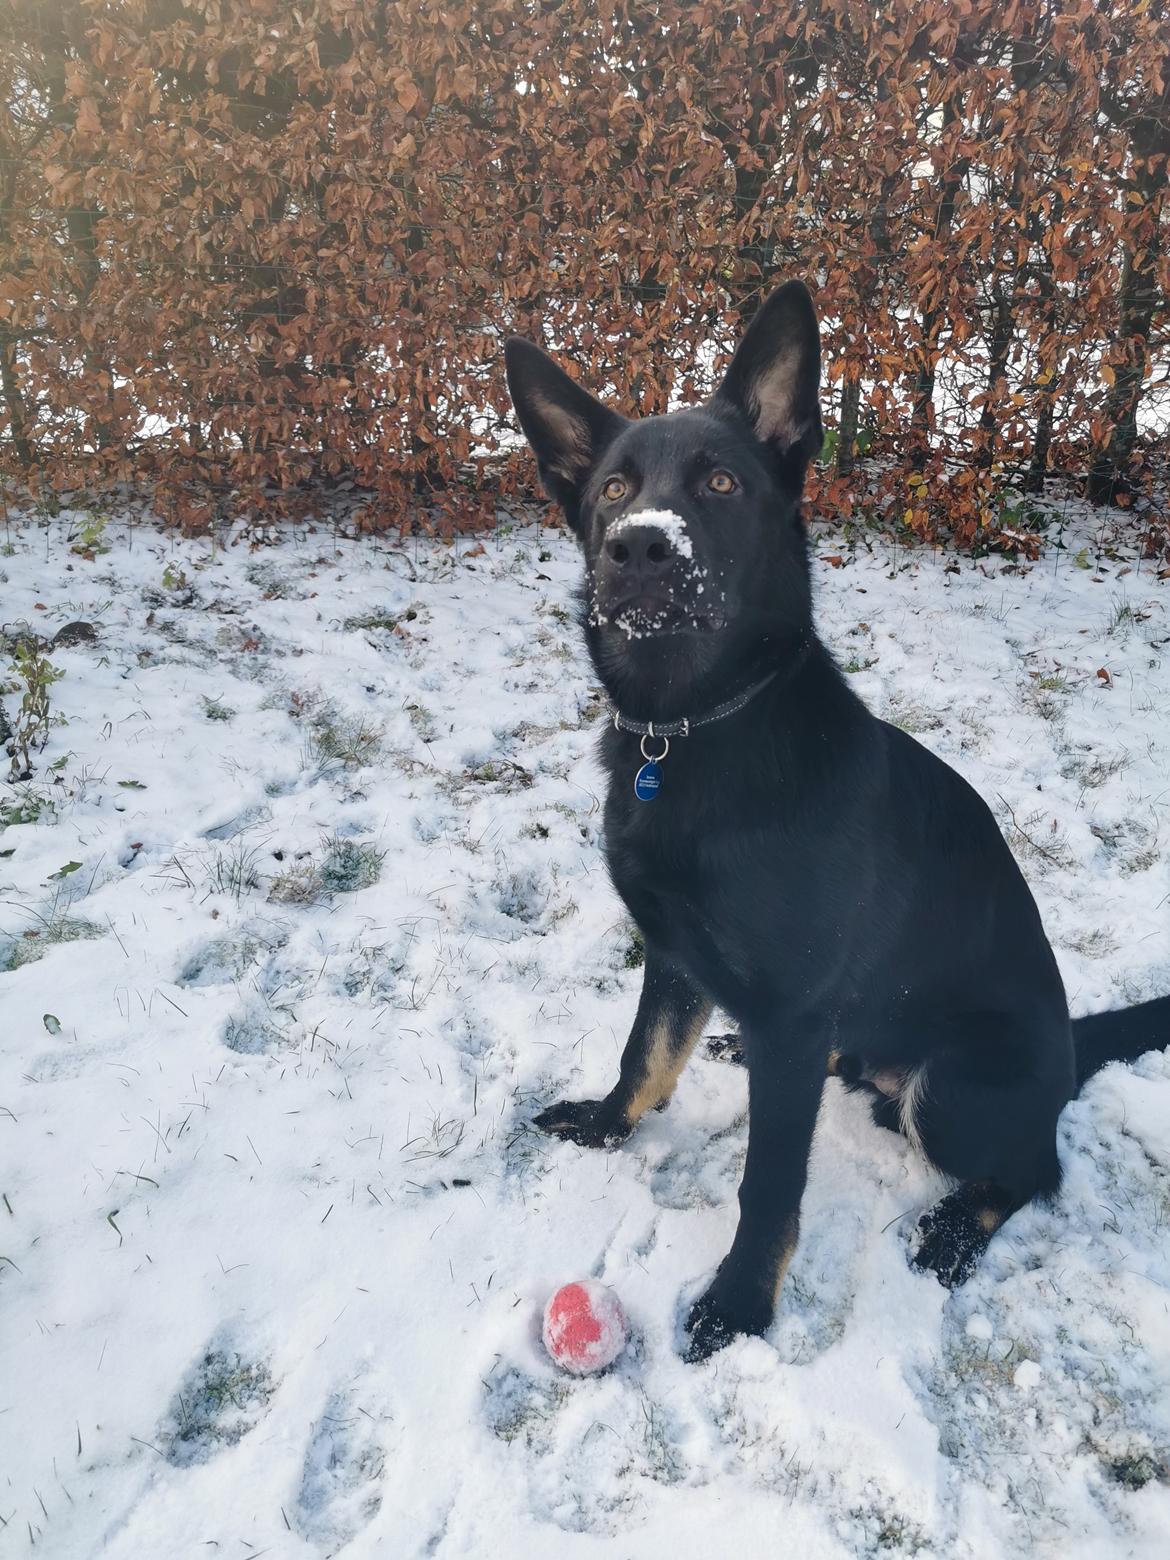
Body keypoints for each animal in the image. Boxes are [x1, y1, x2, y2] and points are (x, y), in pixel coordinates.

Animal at [505, 283, 1170, 1366]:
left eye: (721, 482)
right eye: (611, 489)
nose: (639, 544)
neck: (695, 730)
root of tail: (1072, 1050)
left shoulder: (782, 1006)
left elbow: (769, 1185)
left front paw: (740, 1305)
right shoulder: (675, 955)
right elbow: (645, 1055)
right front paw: (610, 1126)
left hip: (954, 1090)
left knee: (1038, 1168)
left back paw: (954, 1230)